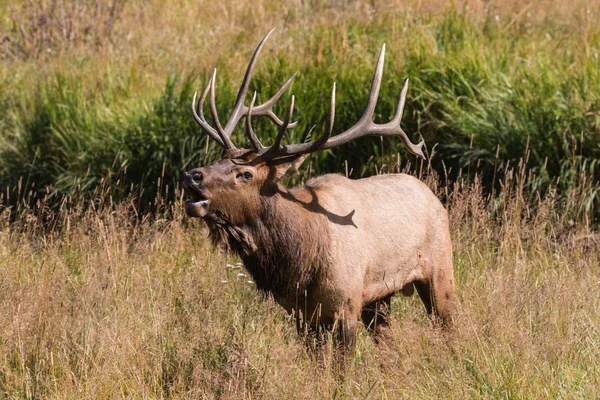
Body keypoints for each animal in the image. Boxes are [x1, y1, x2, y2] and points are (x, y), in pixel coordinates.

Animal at [183, 28, 454, 354]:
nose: (192, 175)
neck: (298, 264)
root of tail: (433, 195)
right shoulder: (301, 315)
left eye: (245, 174)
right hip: (379, 298)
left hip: (441, 269)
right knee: (388, 345)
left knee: (449, 327)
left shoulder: (345, 305)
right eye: (217, 159)